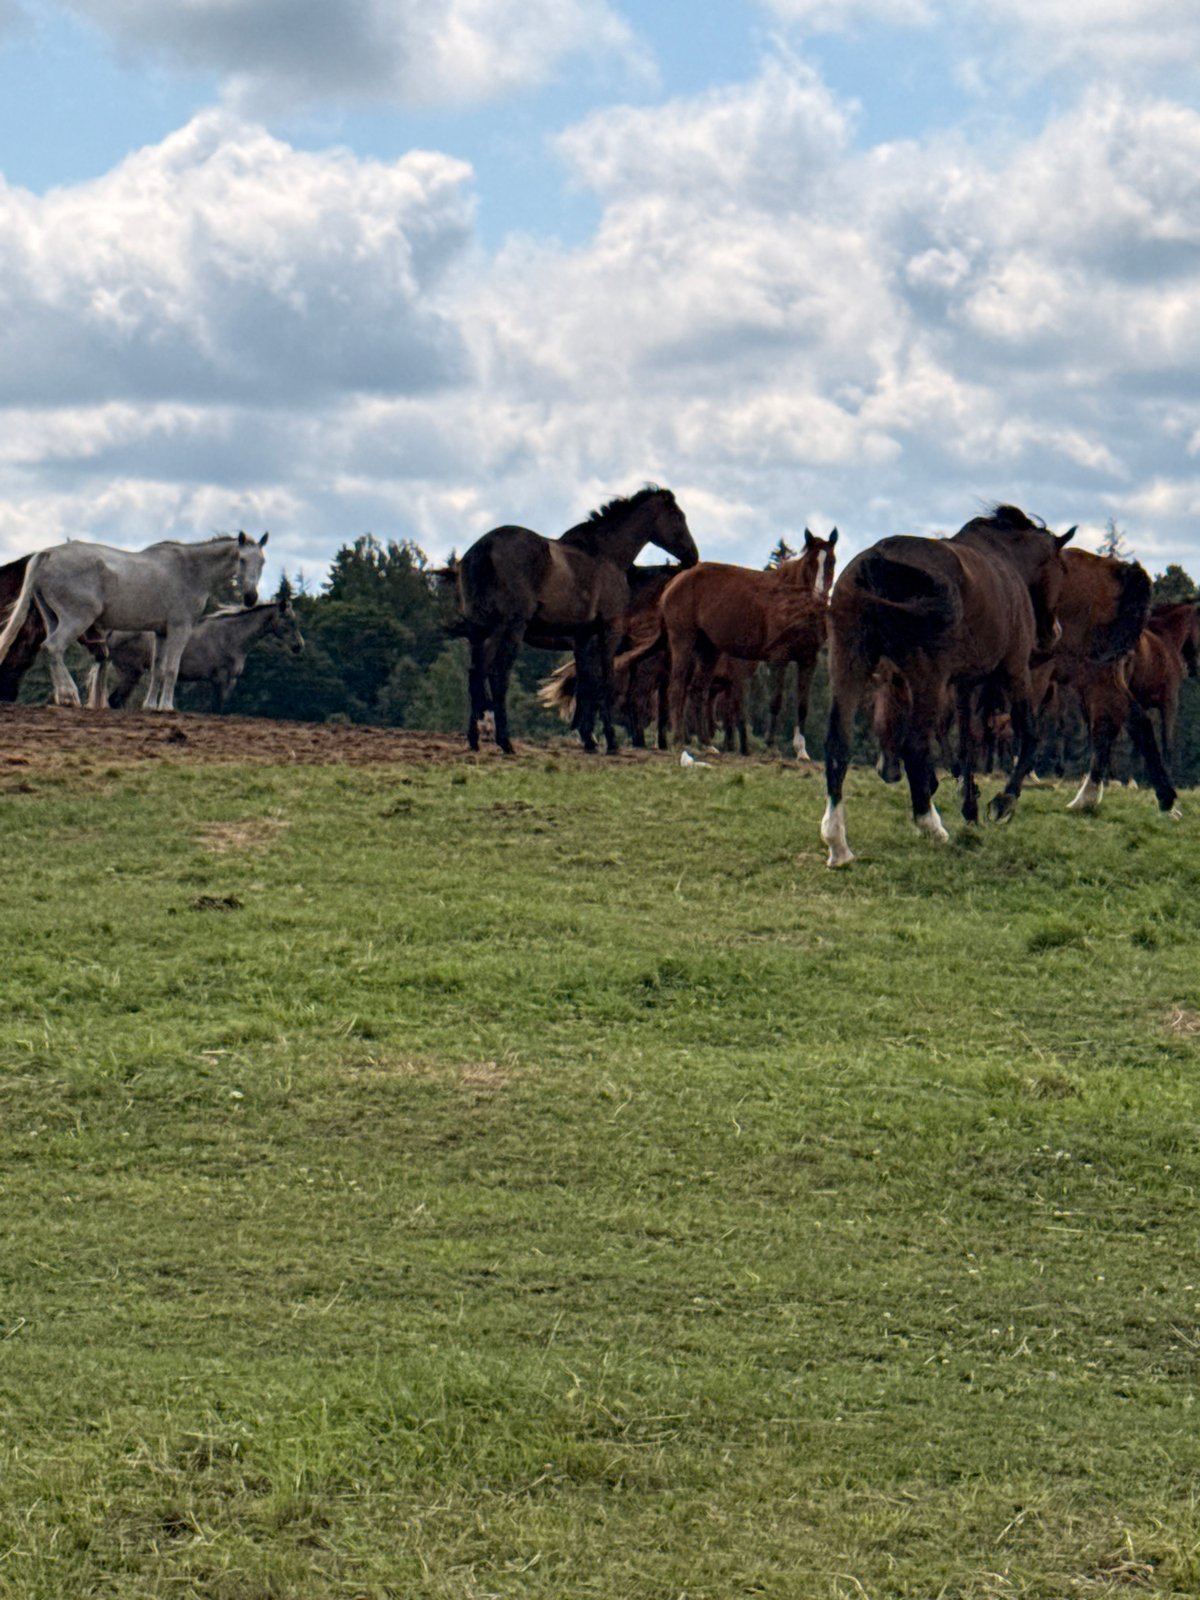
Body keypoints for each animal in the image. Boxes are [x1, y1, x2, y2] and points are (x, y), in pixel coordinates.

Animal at [0, 533, 268, 712]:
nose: (251, 597)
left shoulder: (161, 632)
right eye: (242, 559)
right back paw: (69, 696)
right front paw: (167, 706)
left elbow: (158, 669)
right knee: (53, 648)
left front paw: (150, 706)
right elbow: (171, 668)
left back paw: (63, 696)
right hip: (76, 620)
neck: (191, 570)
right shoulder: (180, 629)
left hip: (54, 619)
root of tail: (48, 554)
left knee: (51, 651)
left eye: (262, 561)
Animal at [85, 595, 304, 711]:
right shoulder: (222, 680)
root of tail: (112, 633)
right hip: (131, 673)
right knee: (115, 700)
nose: (299, 646)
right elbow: (218, 709)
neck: (231, 635)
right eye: (288, 621)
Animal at [456, 487, 697, 755]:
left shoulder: (583, 637)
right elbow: (604, 682)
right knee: (498, 676)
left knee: (476, 674)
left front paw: (588, 739)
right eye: (678, 517)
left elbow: (586, 683)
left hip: (482, 631)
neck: (606, 555)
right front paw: (610, 742)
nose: (692, 556)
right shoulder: (608, 631)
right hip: (510, 628)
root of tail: (484, 548)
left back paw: (475, 739)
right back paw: (505, 741)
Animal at [821, 505, 1074, 867]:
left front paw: (970, 806)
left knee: (837, 744)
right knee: (914, 747)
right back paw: (931, 825)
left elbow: (967, 744)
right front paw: (1003, 802)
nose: (1054, 632)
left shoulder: (964, 685)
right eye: (1061, 569)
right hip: (926, 678)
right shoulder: (1013, 672)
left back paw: (838, 844)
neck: (1004, 559)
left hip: (848, 664)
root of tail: (878, 560)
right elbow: (1029, 735)